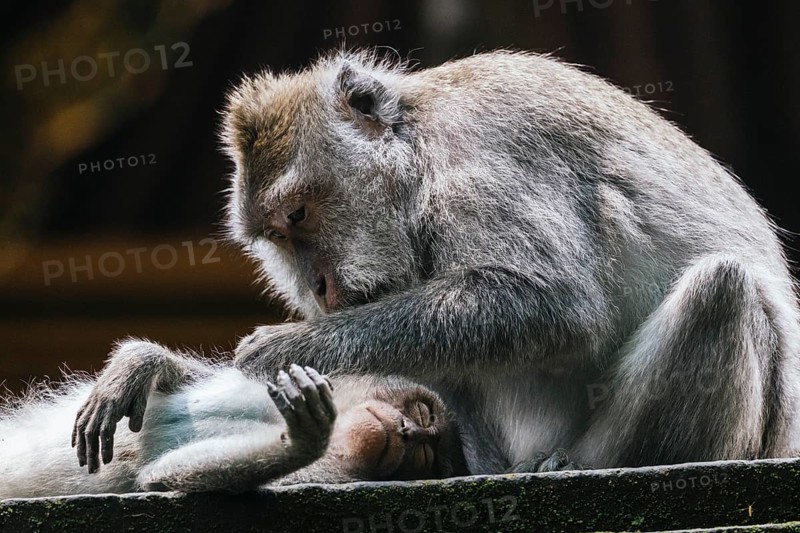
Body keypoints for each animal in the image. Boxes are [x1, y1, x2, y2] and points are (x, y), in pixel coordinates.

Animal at [0, 340, 468, 499]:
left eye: (424, 458)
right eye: (421, 413)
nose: (407, 431)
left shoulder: (334, 473)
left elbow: (163, 475)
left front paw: (304, 438)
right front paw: (136, 365)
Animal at [77, 48, 800, 475]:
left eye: (301, 214)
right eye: (275, 236)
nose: (317, 286)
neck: (417, 148)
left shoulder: (481, 148)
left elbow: (554, 303)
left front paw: (286, 346)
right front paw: (148, 365)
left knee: (723, 288)